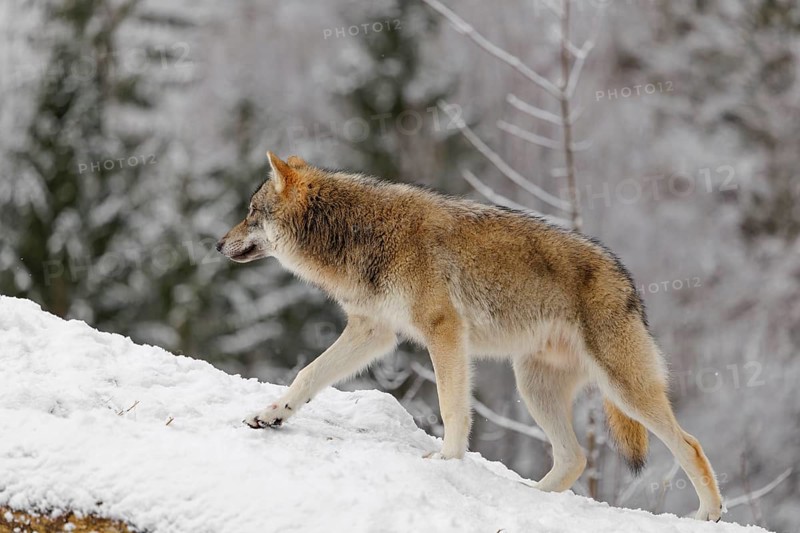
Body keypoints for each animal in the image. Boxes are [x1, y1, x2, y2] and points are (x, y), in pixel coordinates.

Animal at [216, 152, 723, 521]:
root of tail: (627, 279)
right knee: (574, 458)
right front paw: (272, 415)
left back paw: (708, 514)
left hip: (621, 389)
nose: (217, 244)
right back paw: (531, 497)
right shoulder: (373, 331)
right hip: (533, 386)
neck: (359, 232)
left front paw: (446, 461)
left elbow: (451, 408)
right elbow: (307, 375)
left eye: (250, 214)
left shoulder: (443, 331)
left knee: (691, 444)